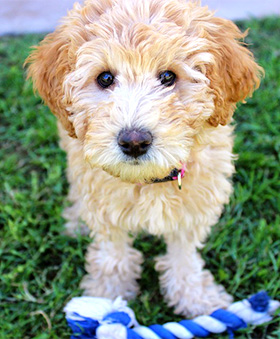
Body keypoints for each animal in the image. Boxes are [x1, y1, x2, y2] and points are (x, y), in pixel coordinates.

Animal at [25, 0, 262, 318]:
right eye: (105, 78)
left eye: (168, 77)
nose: (134, 142)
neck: (148, 180)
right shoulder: (104, 205)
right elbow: (113, 253)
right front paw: (106, 298)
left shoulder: (194, 206)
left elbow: (184, 255)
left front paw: (195, 297)